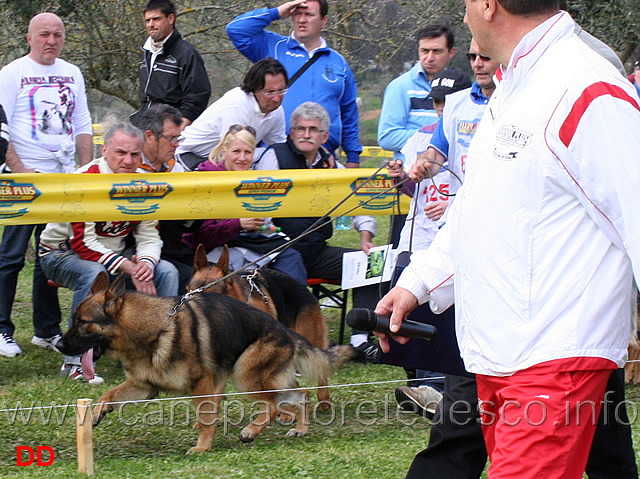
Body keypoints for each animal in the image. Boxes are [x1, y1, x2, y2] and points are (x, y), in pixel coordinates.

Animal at [55, 274, 356, 454]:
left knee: (272, 404)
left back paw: (251, 431)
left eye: (83, 323)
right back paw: (300, 429)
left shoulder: (202, 386)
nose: (59, 345)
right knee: (299, 395)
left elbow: (206, 417)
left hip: (245, 377)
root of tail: (285, 331)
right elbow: (108, 395)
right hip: (262, 378)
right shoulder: (144, 386)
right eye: (74, 320)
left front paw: (202, 447)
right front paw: (95, 413)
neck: (153, 329)